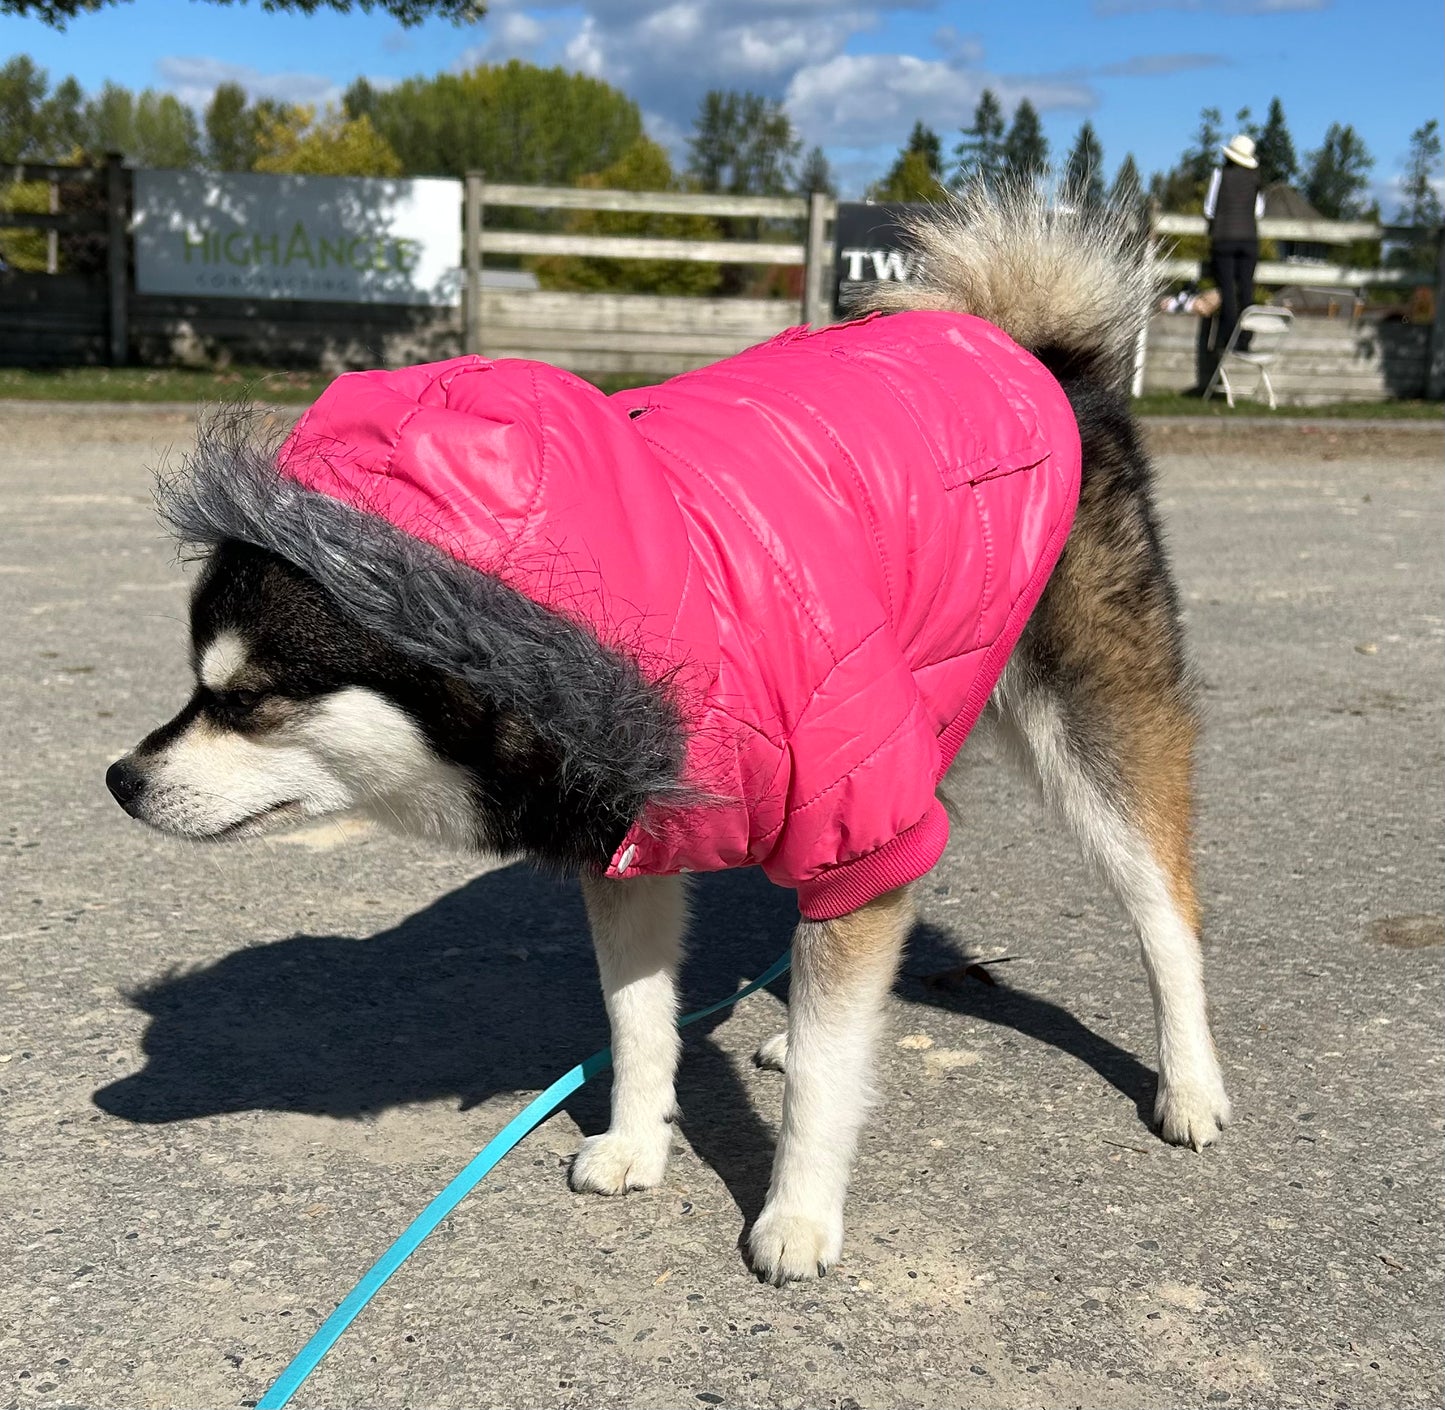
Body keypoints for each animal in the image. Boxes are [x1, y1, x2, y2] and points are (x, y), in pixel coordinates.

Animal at [104, 190, 1231, 1288]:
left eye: (250, 698)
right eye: (197, 681)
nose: (121, 779)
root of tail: (1036, 354)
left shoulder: (839, 814)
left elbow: (829, 1061)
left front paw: (798, 1209)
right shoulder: (631, 847)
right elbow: (639, 1018)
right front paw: (639, 1139)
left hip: (1087, 721)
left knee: (1160, 909)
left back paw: (1188, 1079)